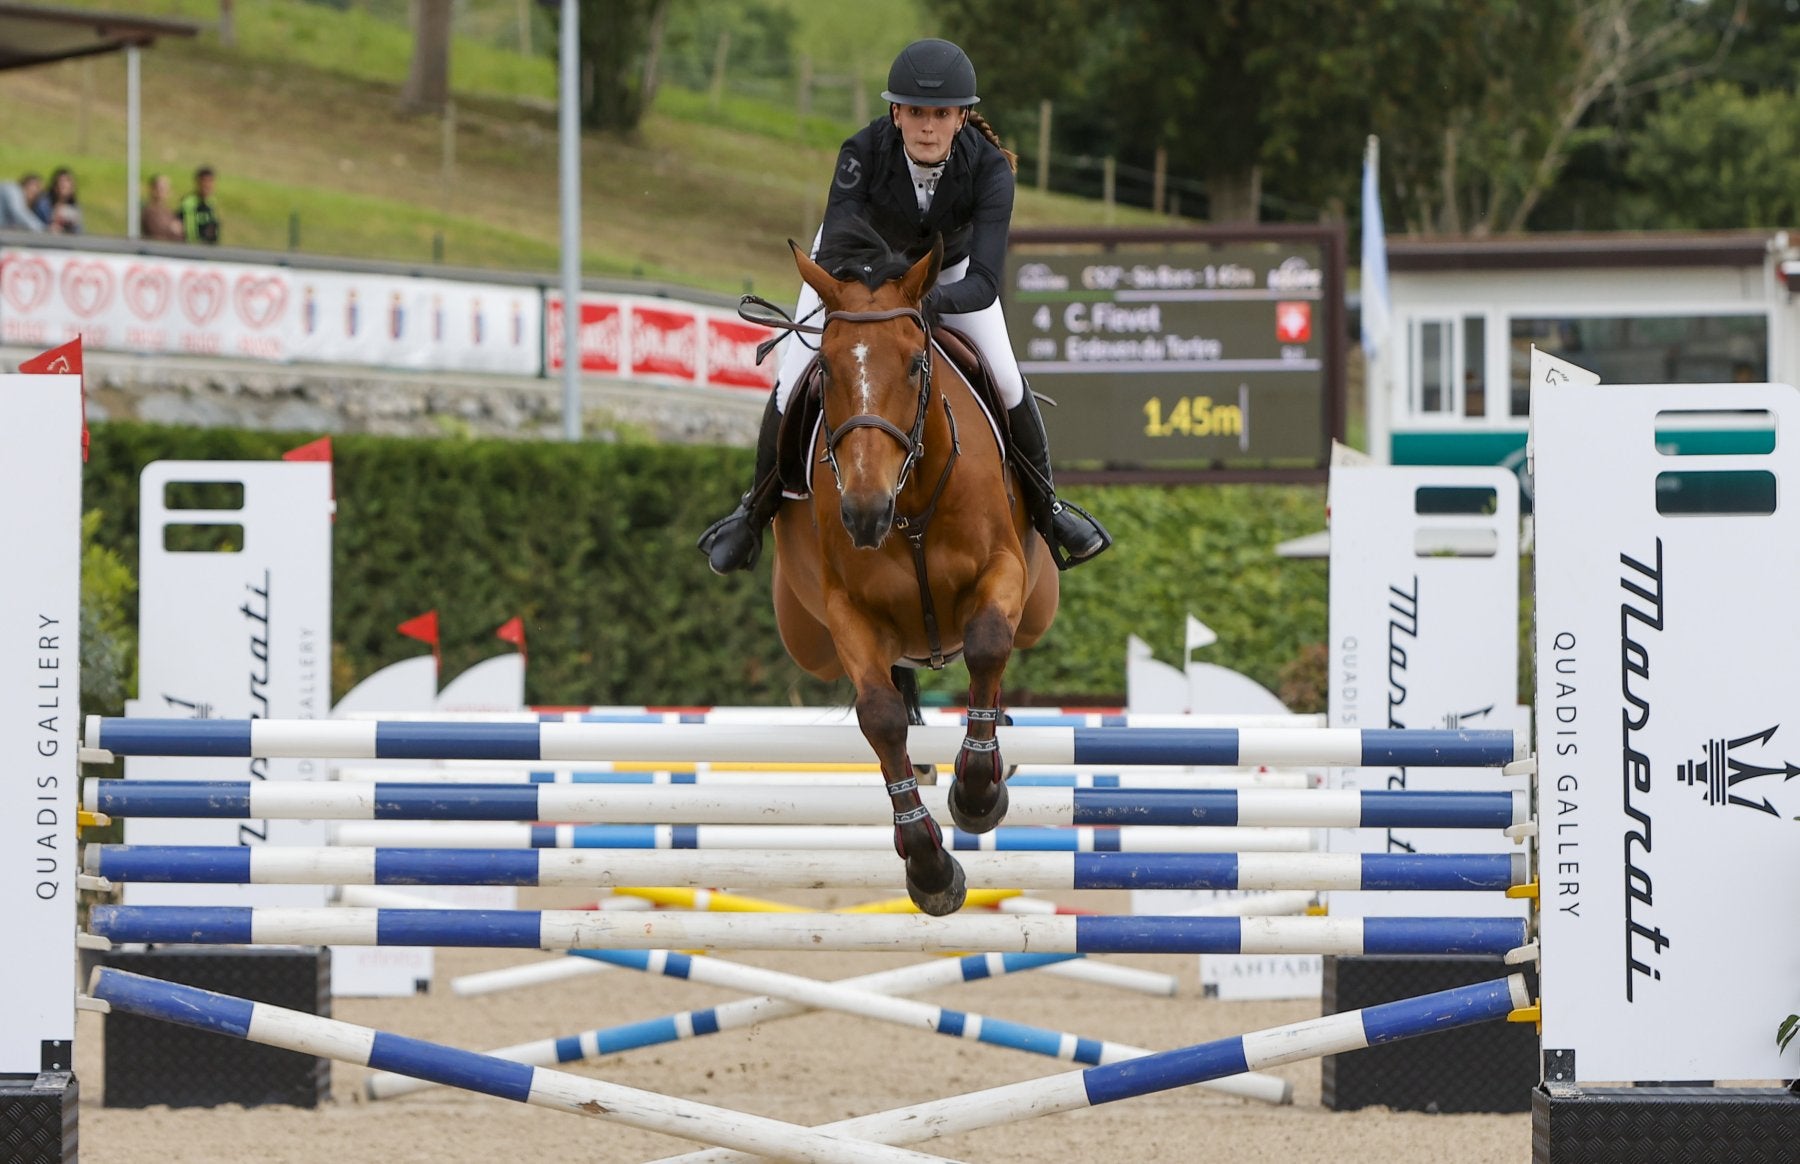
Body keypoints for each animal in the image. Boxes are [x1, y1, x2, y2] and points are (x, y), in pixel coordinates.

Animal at [756, 223, 1058, 921]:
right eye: (827, 369)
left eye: (917, 364)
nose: (863, 513)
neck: (911, 497)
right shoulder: (849, 612)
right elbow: (882, 716)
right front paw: (928, 865)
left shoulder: (1001, 571)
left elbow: (987, 644)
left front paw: (978, 793)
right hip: (806, 636)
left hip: (1039, 603)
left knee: (1001, 652)